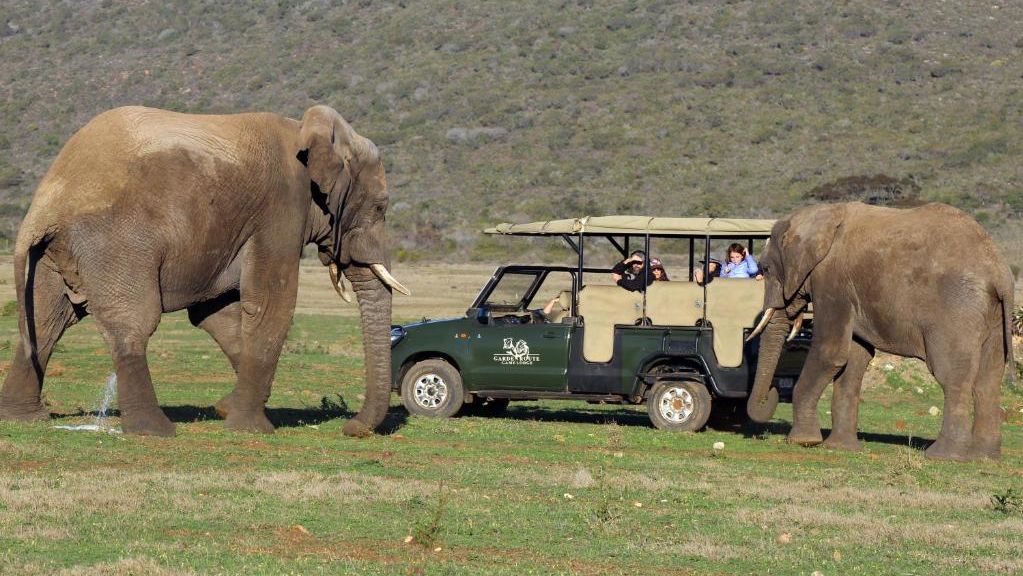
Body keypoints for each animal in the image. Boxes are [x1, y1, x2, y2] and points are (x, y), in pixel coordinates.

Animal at [0, 105, 407, 437]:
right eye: (380, 207)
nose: (350, 428)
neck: (307, 131)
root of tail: (44, 206)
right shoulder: (281, 207)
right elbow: (269, 304)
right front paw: (251, 428)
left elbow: (217, 313)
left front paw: (228, 408)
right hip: (115, 243)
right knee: (132, 322)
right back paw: (154, 430)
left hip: (53, 254)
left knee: (46, 322)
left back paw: (24, 419)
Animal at [744, 200, 1014, 462]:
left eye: (765, 269)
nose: (772, 392)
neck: (821, 214)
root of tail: (999, 271)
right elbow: (855, 357)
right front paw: (840, 448)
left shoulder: (832, 281)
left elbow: (831, 353)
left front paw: (803, 441)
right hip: (994, 317)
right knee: (988, 381)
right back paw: (984, 457)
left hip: (956, 310)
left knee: (952, 375)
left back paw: (944, 456)